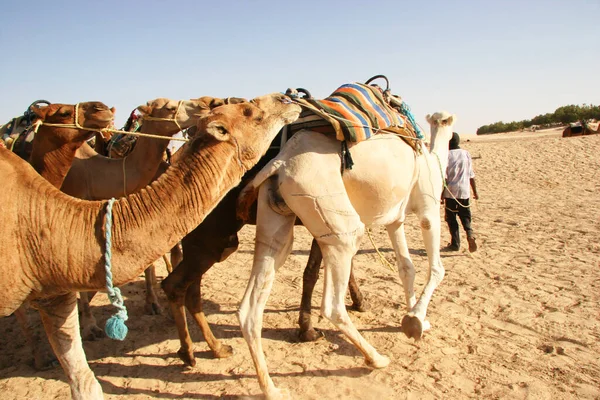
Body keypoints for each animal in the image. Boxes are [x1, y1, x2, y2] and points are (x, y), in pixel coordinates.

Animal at [0, 92, 300, 398]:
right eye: (251, 111)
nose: (287, 97)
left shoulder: (54, 290)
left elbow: (85, 382)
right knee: (180, 284)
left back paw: (206, 347)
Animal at [234, 108, 454, 398]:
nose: (447, 125)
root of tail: (279, 162)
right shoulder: (428, 209)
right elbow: (437, 269)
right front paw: (416, 320)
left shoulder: (395, 219)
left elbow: (407, 268)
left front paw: (414, 317)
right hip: (331, 212)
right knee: (333, 301)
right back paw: (375, 358)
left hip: (275, 214)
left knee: (253, 300)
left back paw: (271, 388)